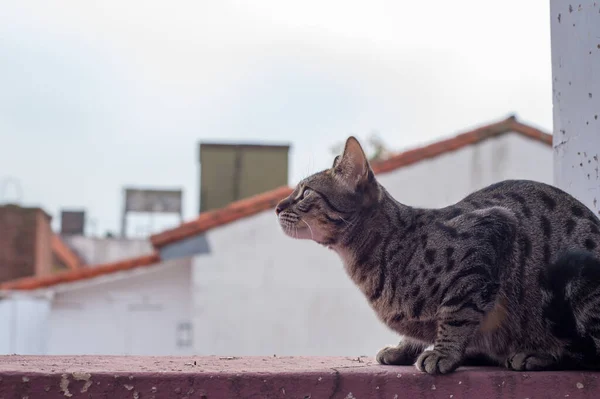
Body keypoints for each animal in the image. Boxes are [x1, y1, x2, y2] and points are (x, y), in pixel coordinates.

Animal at [276, 137, 600, 376]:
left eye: (305, 193)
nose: (278, 206)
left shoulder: (489, 232)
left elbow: (456, 314)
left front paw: (443, 353)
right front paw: (403, 349)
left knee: (588, 353)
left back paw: (536, 355)